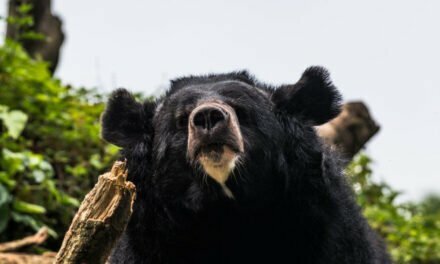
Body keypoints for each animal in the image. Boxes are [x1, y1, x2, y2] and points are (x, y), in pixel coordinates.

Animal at [100, 66, 388, 264]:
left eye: (241, 110)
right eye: (181, 119)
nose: (208, 117)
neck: (227, 209)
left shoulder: (328, 230)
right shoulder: (148, 242)